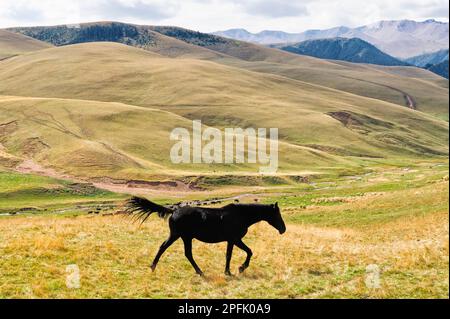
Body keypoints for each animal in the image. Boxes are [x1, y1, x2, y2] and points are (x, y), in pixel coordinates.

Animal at [124, 196, 284, 276]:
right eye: (277, 214)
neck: (240, 215)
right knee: (175, 250)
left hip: (182, 236)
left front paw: (230, 271)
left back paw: (154, 267)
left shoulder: (231, 240)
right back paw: (198, 271)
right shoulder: (235, 239)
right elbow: (247, 252)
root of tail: (173, 211)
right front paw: (238, 269)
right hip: (181, 236)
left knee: (175, 250)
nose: (283, 229)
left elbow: (231, 254)